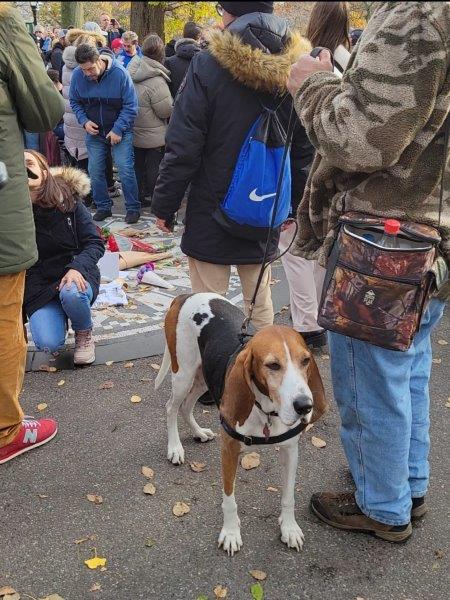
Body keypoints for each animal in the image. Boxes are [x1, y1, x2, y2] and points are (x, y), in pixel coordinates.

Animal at [155, 292, 326, 556]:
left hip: (204, 377)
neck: (266, 411)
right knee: (171, 407)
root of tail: (186, 295)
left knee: (186, 406)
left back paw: (198, 432)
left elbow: (288, 496)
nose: (305, 406)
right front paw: (231, 533)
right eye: (273, 365)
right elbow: (229, 500)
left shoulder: (290, 450)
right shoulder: (229, 449)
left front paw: (289, 528)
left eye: (306, 360)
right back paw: (174, 448)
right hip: (182, 372)